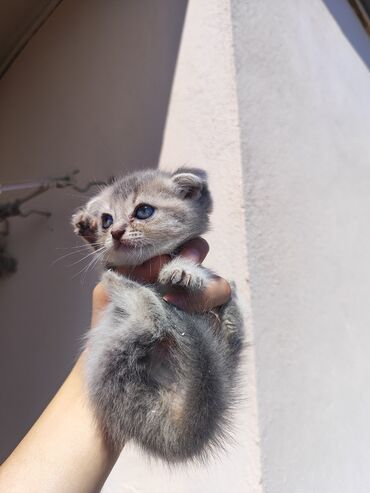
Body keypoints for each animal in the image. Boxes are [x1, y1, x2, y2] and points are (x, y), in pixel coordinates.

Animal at [72, 167, 246, 464]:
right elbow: (106, 260)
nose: (115, 232)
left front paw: (184, 271)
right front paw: (87, 228)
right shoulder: (111, 265)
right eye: (107, 220)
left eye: (143, 211)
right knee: (151, 320)